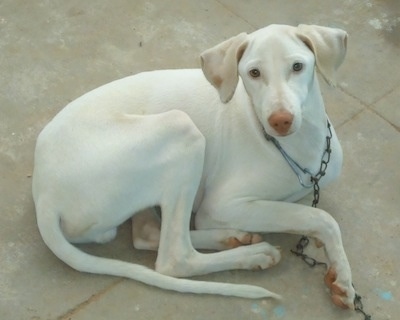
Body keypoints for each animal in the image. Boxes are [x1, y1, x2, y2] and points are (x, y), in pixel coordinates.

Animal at [32, 23, 354, 308]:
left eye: (298, 67)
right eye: (254, 73)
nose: (280, 121)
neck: (297, 146)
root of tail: (44, 196)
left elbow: (304, 214)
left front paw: (340, 273)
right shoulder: (222, 205)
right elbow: (322, 217)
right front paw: (343, 274)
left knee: (150, 234)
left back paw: (232, 238)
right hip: (181, 129)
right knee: (175, 257)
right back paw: (251, 254)